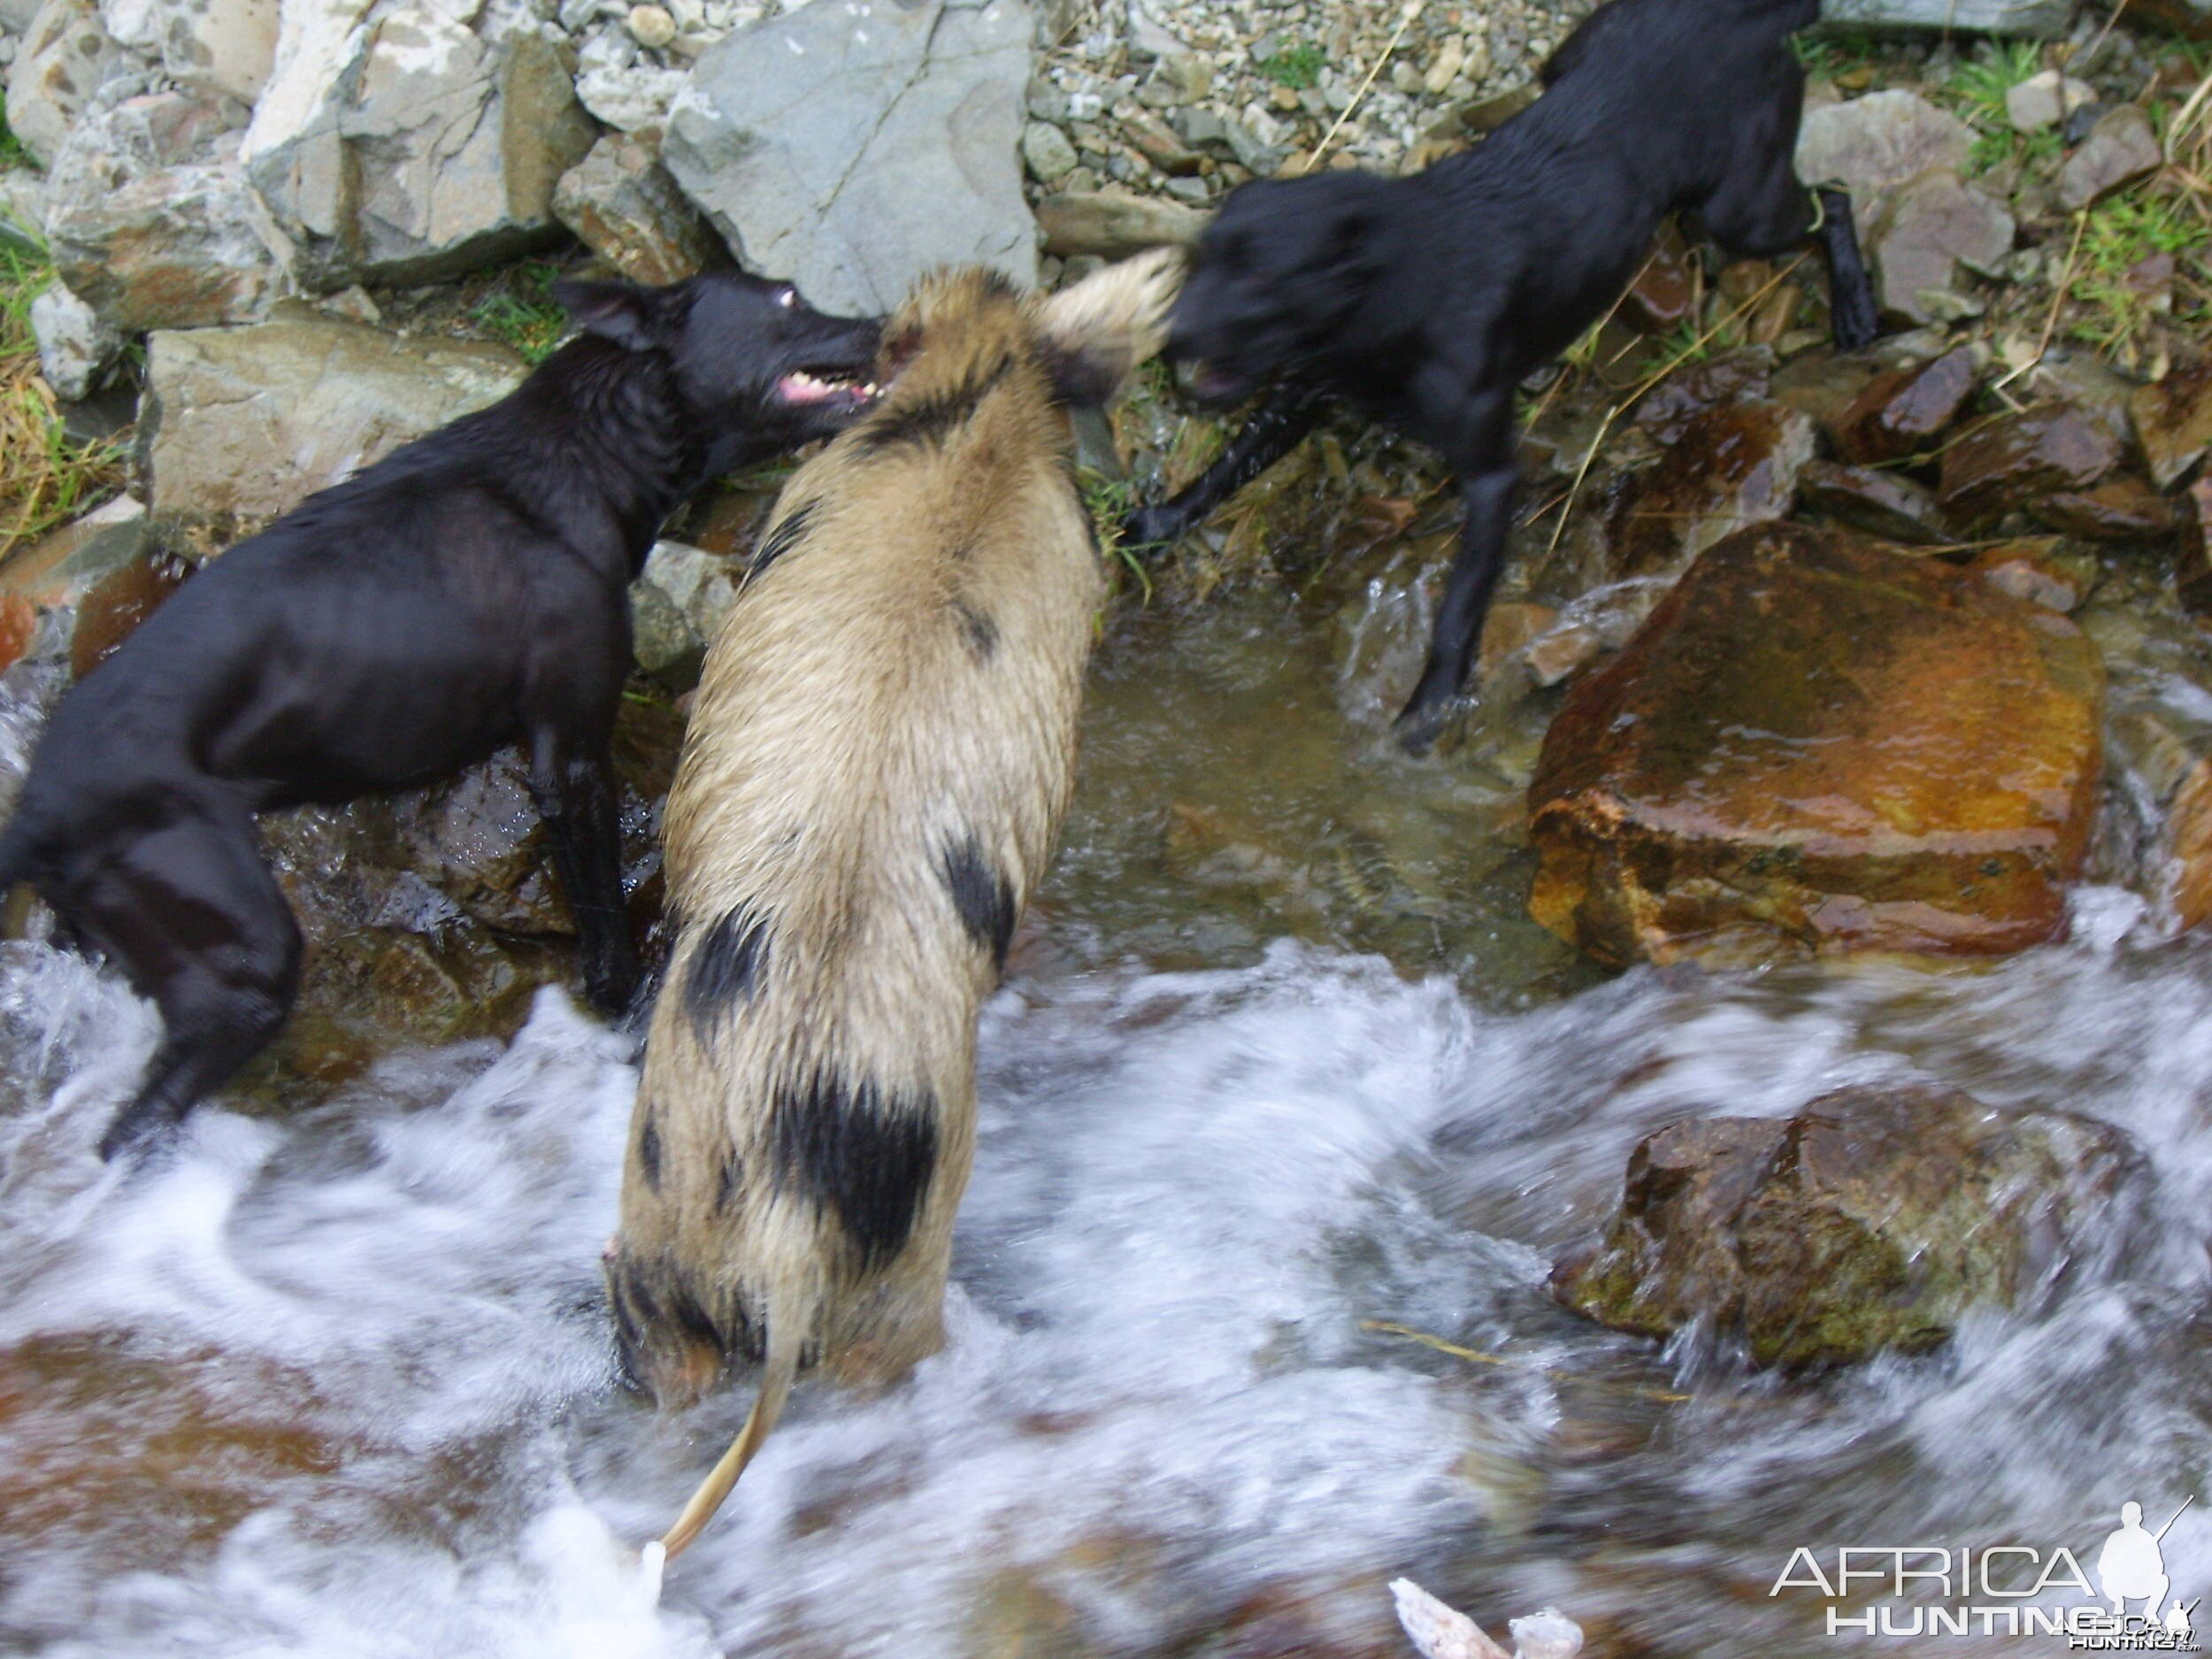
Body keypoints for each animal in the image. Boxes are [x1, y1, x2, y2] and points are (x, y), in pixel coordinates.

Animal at [0, 270, 880, 1159]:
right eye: (785, 299)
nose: (881, 324)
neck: (587, 452)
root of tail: (35, 814)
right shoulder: (569, 752)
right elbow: (602, 921)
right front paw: (621, 1013)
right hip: (239, 952)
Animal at [1133, 0, 1876, 752]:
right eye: (1204, 256)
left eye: (1260, 279)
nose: (1167, 334)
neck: (1403, 289)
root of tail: (1749, 16)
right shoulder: (1308, 388)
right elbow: (1229, 466)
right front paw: (1159, 521)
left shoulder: (1491, 476)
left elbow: (1460, 606)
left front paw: (1429, 706)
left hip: (1737, 208)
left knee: (1835, 202)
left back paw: (1856, 307)